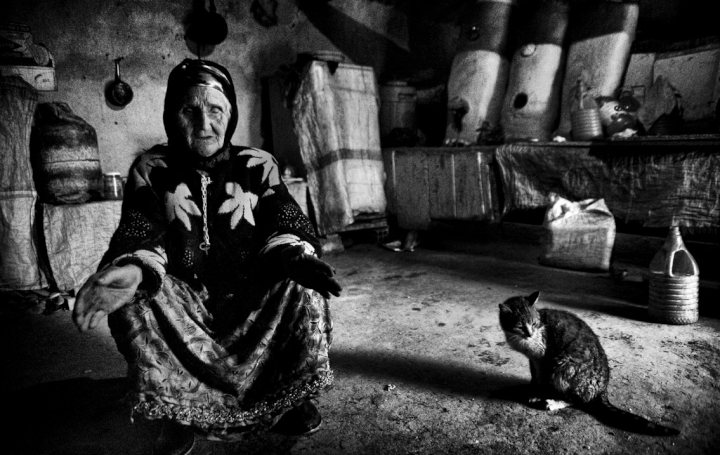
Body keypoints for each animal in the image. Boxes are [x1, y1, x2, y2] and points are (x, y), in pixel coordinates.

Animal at [498, 290, 676, 436]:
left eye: (534, 323)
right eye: (520, 326)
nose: (530, 333)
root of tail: (603, 390)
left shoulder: (543, 357)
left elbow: (541, 378)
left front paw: (537, 393)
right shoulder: (533, 360)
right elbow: (535, 376)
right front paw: (532, 388)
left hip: (563, 366)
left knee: (578, 400)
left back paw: (553, 402)